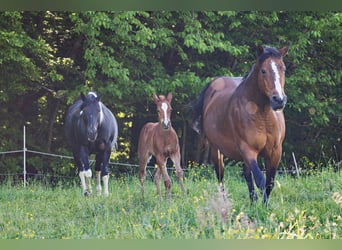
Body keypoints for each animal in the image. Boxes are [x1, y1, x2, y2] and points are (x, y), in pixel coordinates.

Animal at [192, 46, 288, 204]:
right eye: (263, 70)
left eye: (283, 68)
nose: (279, 100)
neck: (263, 115)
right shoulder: (248, 150)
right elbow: (260, 180)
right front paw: (263, 205)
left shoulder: (275, 152)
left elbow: (269, 182)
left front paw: (263, 205)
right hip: (216, 151)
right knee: (221, 176)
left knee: (247, 174)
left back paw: (252, 200)